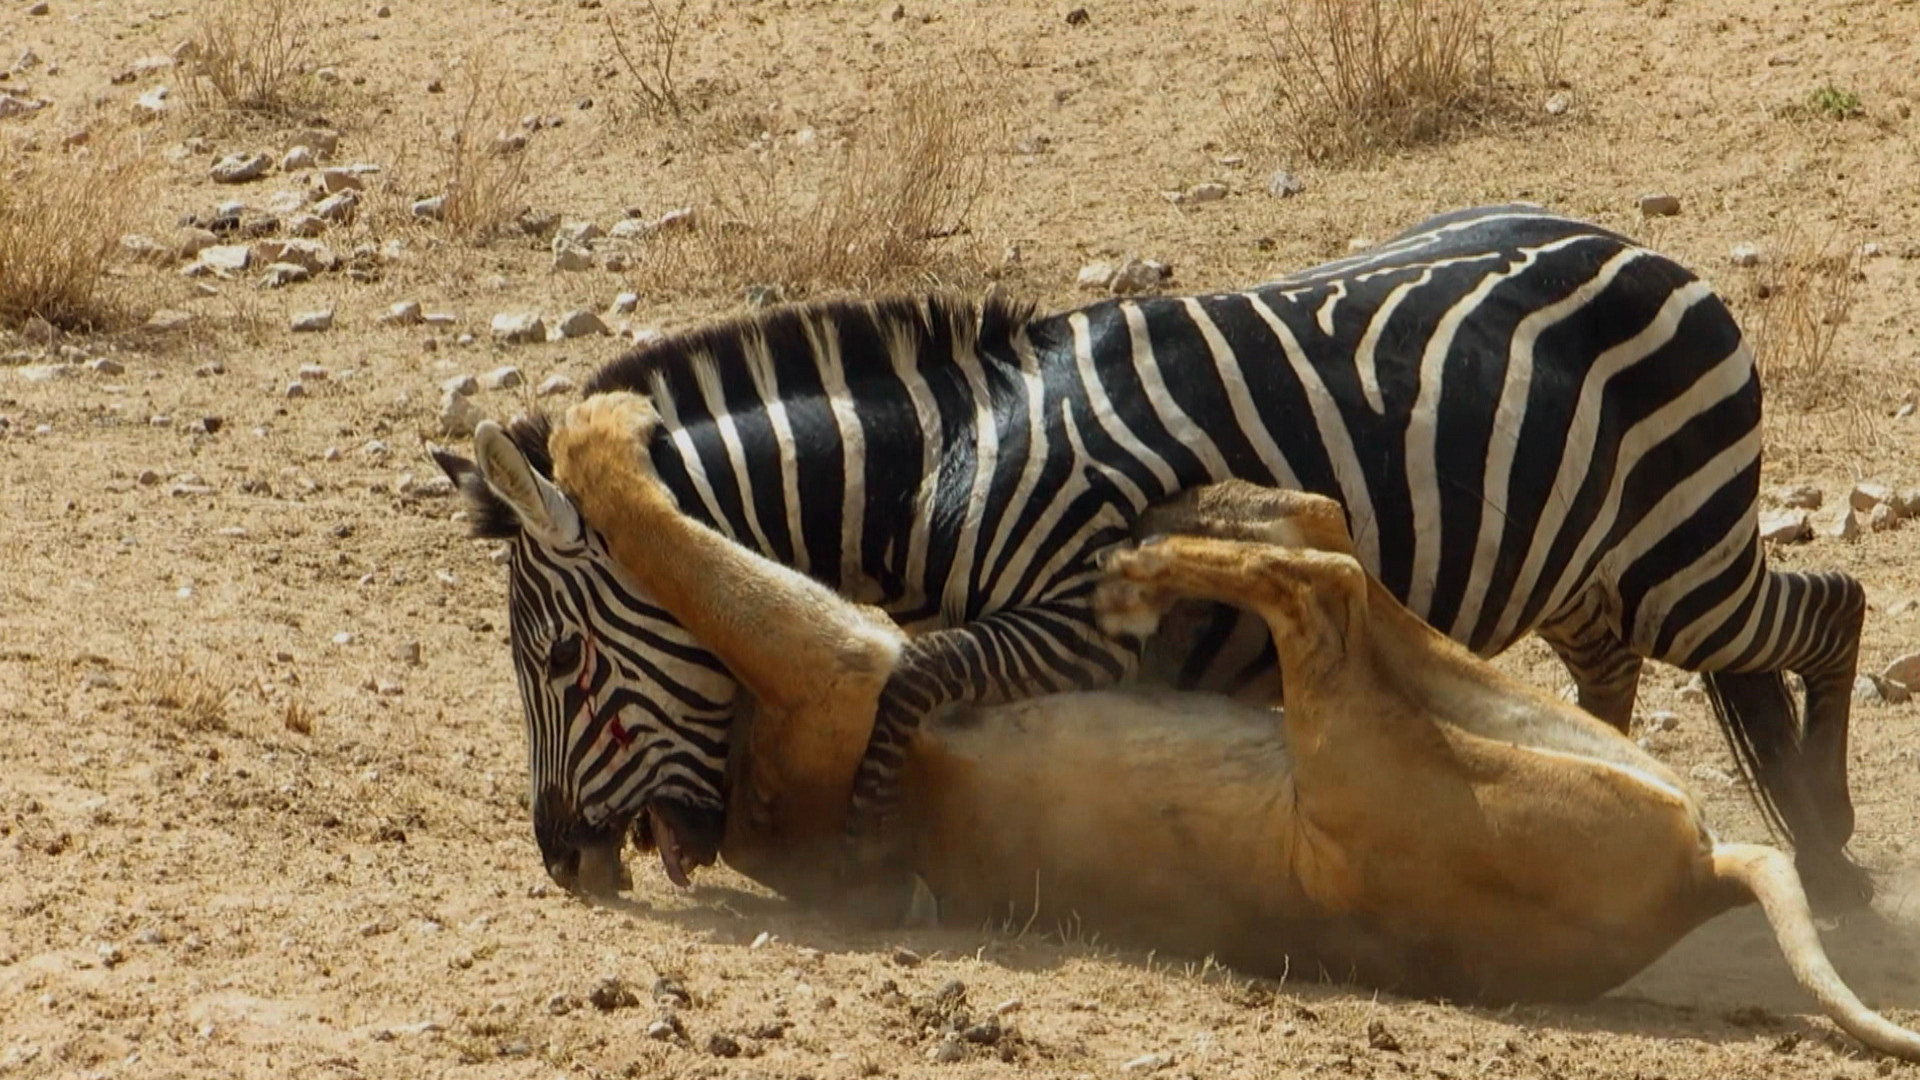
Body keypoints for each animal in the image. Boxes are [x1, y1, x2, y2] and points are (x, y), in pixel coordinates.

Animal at [441, 201, 1866, 899]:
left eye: (557, 662)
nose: (561, 865)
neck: (947, 467)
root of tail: (1645, 247)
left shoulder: (1085, 617)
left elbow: (913, 679)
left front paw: (866, 849)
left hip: (1680, 557)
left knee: (1829, 604)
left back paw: (1832, 843)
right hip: (1585, 573)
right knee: (1615, 673)